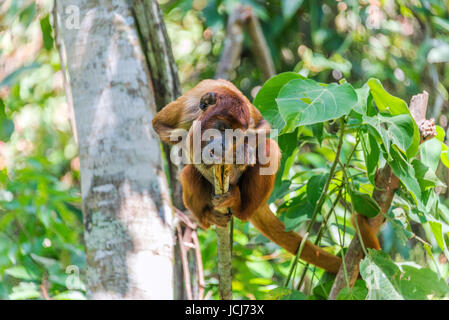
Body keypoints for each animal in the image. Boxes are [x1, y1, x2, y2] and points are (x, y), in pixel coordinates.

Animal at [152, 79, 348, 274]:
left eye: (234, 136)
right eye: (221, 128)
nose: (224, 145)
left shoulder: (249, 113)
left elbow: (264, 126)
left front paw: (243, 152)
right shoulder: (188, 108)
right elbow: (159, 124)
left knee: (270, 150)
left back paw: (238, 201)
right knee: (187, 174)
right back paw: (207, 215)